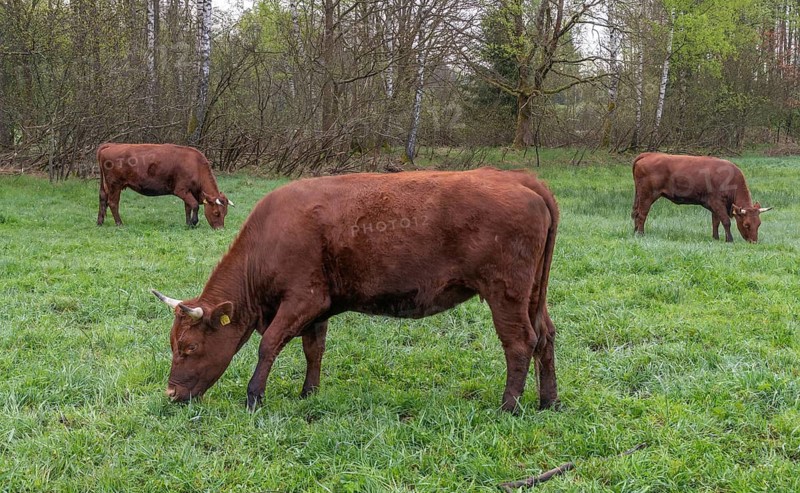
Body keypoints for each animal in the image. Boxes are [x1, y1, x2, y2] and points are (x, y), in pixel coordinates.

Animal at [96, 143, 233, 229]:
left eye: (225, 213)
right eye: (216, 213)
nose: (220, 229)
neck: (196, 165)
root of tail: (111, 145)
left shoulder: (188, 192)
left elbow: (188, 207)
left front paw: (188, 224)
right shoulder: (181, 190)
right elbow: (194, 205)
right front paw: (194, 223)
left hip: (106, 186)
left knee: (103, 199)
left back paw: (100, 222)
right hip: (115, 185)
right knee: (113, 203)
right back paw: (119, 223)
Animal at [151, 167, 560, 413]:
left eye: (189, 348)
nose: (170, 394)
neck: (270, 237)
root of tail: (520, 178)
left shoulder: (302, 298)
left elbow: (268, 345)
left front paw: (254, 397)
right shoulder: (318, 307)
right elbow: (313, 350)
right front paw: (309, 394)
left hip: (505, 292)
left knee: (520, 342)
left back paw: (509, 406)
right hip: (534, 295)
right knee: (546, 336)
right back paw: (548, 401)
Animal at [631, 152, 772, 242]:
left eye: (759, 224)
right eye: (747, 225)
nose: (754, 242)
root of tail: (648, 154)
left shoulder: (715, 206)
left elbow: (716, 222)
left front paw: (716, 238)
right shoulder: (717, 203)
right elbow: (726, 221)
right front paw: (729, 240)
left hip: (640, 195)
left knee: (637, 213)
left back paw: (635, 231)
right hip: (647, 195)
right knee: (642, 214)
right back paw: (641, 234)